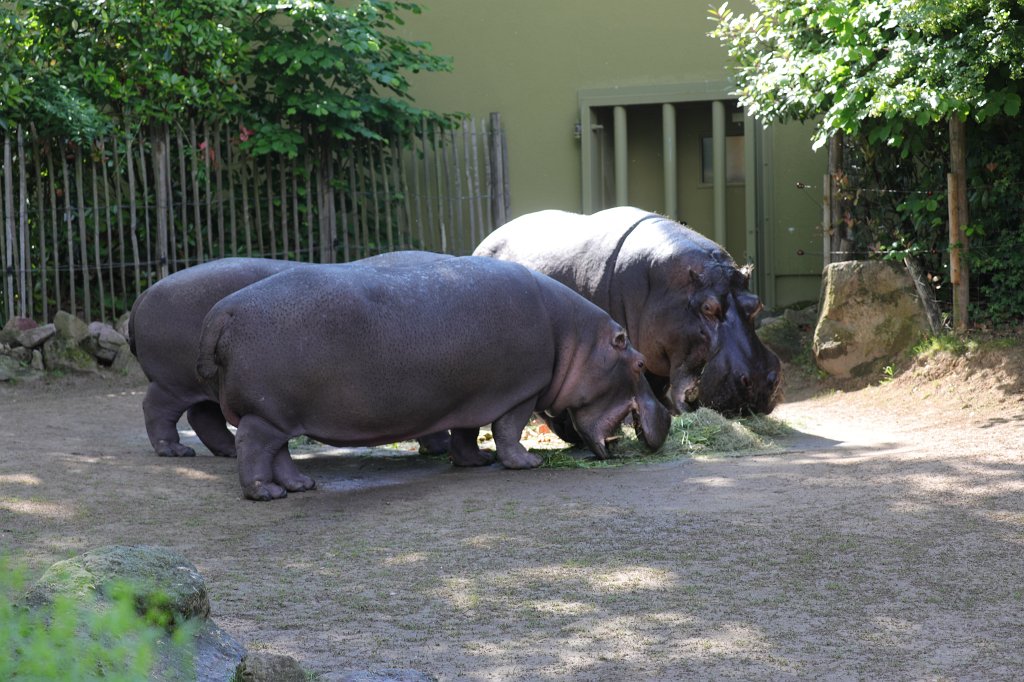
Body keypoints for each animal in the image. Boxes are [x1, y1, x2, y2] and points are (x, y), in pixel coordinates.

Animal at [128, 258, 451, 458]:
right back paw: (177, 451)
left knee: (203, 416)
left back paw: (229, 451)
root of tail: (144, 293)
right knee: (157, 408)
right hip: (172, 382)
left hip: (203, 384)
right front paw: (442, 446)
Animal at [195, 251, 671, 501]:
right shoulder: (520, 391)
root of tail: (222, 311)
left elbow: (467, 432)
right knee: (253, 447)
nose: (668, 415)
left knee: (279, 453)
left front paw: (476, 462)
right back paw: (266, 493)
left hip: (280, 415)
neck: (573, 337)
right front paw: (526, 463)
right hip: (265, 414)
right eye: (639, 363)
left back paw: (301, 485)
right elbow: (508, 430)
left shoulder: (472, 394)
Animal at [474, 206, 781, 418]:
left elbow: (655, 384)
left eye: (757, 304)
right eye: (708, 308)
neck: (664, 285)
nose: (758, 380)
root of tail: (485, 239)